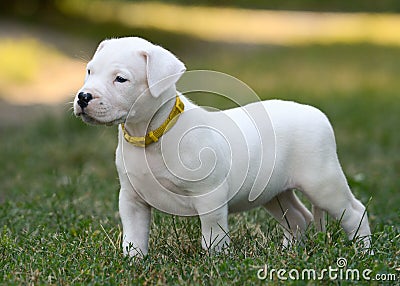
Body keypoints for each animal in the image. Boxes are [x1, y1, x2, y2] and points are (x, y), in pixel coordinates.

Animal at [74, 36, 372, 256]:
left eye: (120, 79)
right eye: (89, 71)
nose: (83, 97)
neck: (152, 134)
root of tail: (316, 113)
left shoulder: (210, 196)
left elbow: (212, 234)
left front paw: (216, 261)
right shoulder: (132, 198)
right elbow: (134, 236)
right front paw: (133, 262)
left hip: (322, 181)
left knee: (354, 211)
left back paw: (364, 252)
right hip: (274, 192)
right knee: (299, 218)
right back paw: (288, 254)